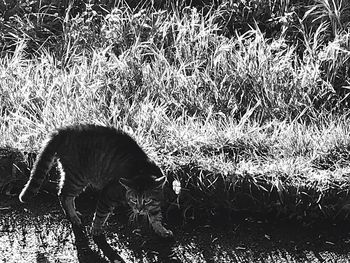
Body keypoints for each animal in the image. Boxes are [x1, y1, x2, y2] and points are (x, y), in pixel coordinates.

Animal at [18, 125, 173, 238]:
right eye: (134, 199)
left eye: (147, 200)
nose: (140, 210)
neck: (143, 170)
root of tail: (64, 130)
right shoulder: (108, 194)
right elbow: (100, 215)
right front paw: (96, 229)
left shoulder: (156, 201)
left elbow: (156, 215)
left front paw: (161, 229)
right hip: (77, 178)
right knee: (63, 195)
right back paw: (73, 216)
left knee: (65, 194)